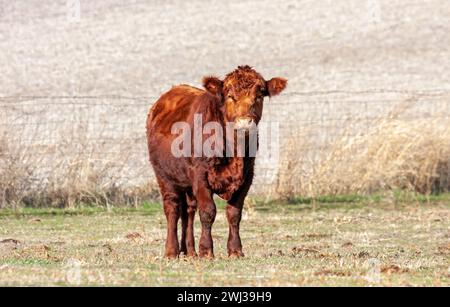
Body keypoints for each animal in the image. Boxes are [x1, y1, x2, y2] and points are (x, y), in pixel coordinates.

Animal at [148, 66, 288, 258]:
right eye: (230, 96)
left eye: (259, 95)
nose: (244, 123)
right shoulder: (200, 175)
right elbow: (208, 211)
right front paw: (206, 251)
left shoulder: (247, 176)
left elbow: (234, 213)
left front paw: (235, 250)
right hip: (164, 176)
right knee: (172, 208)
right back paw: (172, 251)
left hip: (186, 184)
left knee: (188, 211)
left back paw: (190, 251)